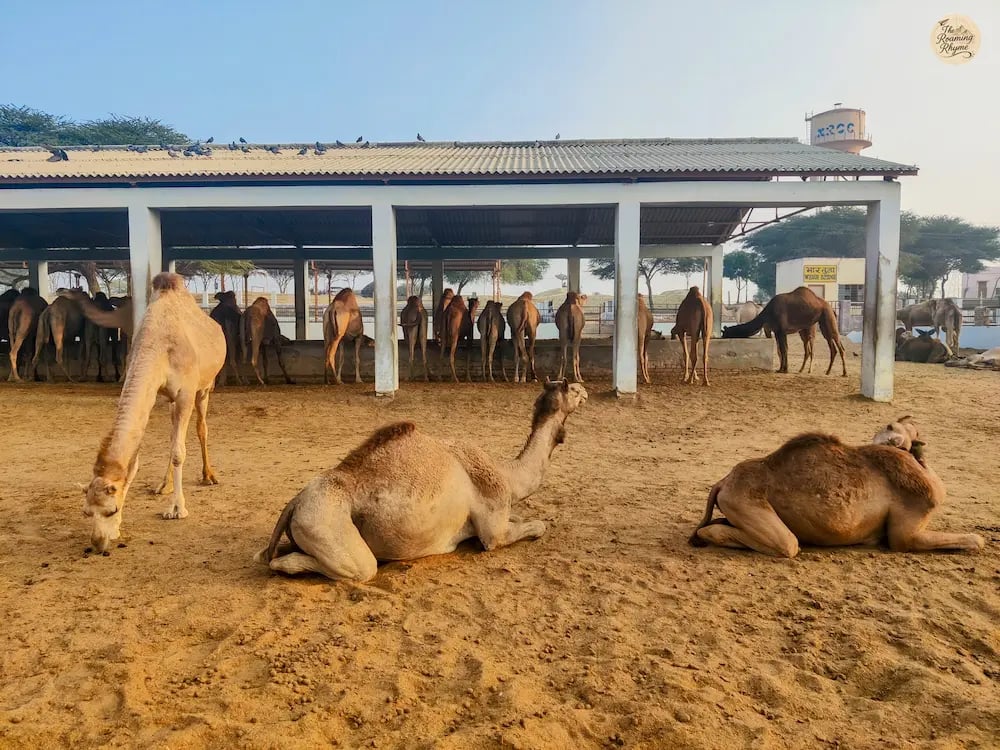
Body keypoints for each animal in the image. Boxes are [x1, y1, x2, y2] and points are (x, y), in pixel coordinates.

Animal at [82, 272, 226, 554]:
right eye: (87, 512)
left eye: (110, 510)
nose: (98, 543)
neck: (156, 345)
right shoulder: (157, 393)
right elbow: (140, 458)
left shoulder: (185, 392)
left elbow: (179, 452)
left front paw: (177, 509)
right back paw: (163, 485)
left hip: (205, 387)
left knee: (201, 428)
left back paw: (209, 476)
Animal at [254, 379, 589, 581]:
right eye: (572, 389)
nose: (585, 390)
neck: (506, 474)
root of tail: (294, 503)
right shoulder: (493, 531)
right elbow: (534, 527)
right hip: (329, 526)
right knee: (353, 567)